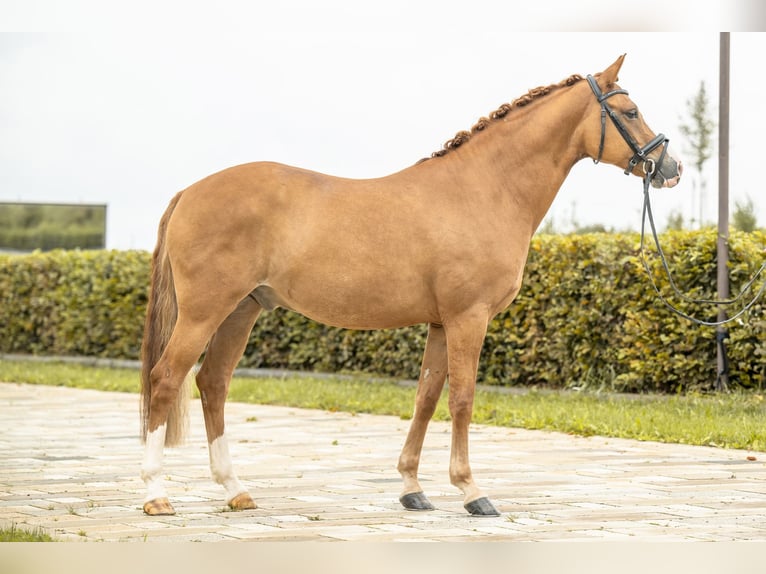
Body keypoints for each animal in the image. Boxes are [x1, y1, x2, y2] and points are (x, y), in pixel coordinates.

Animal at [140, 56, 684, 520]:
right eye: (630, 111)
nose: (669, 168)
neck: (485, 188)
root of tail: (189, 192)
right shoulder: (468, 317)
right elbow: (462, 397)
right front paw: (472, 491)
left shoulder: (441, 323)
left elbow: (426, 397)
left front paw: (412, 489)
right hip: (205, 311)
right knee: (166, 379)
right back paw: (156, 495)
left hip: (242, 310)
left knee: (213, 383)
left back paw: (236, 491)